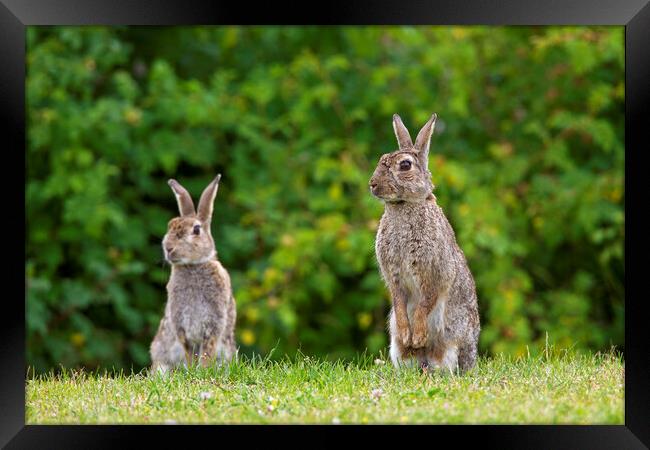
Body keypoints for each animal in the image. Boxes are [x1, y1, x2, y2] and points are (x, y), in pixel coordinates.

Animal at [149, 174, 235, 374]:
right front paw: (193, 371)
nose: (168, 248)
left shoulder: (213, 324)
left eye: (196, 230)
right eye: (170, 226)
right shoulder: (181, 325)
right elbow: (189, 352)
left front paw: (202, 370)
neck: (193, 266)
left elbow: (207, 351)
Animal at [368, 114, 478, 374]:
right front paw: (409, 335)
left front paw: (418, 336)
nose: (372, 184)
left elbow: (425, 303)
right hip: (397, 348)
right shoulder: (394, 276)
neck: (405, 205)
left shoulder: (434, 272)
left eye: (405, 165)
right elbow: (399, 301)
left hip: (452, 342)